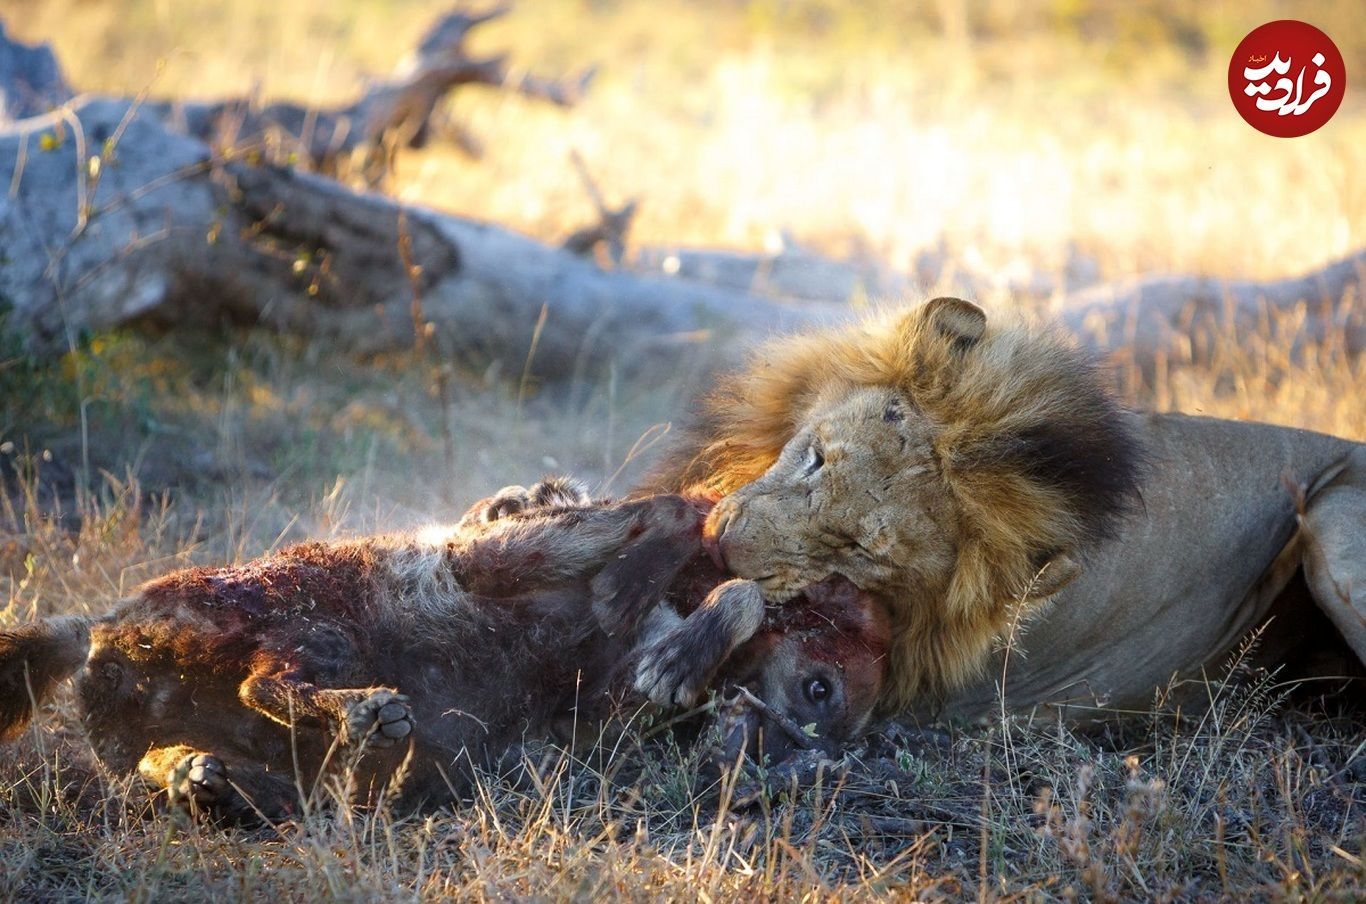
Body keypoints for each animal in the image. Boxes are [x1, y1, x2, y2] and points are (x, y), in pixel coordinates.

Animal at [0, 488, 890, 819]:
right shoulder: (500, 556)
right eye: (821, 688)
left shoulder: (600, 727)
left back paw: (207, 772)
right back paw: (363, 712)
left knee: (223, 742)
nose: (806, 743)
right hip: (313, 619)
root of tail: (103, 627)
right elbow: (690, 541)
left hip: (237, 729)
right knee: (266, 683)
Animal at [633, 300, 1360, 726]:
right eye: (814, 457)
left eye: (858, 550)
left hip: (1333, 524)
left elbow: (759, 601)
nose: (720, 542)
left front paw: (675, 661)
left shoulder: (881, 686)